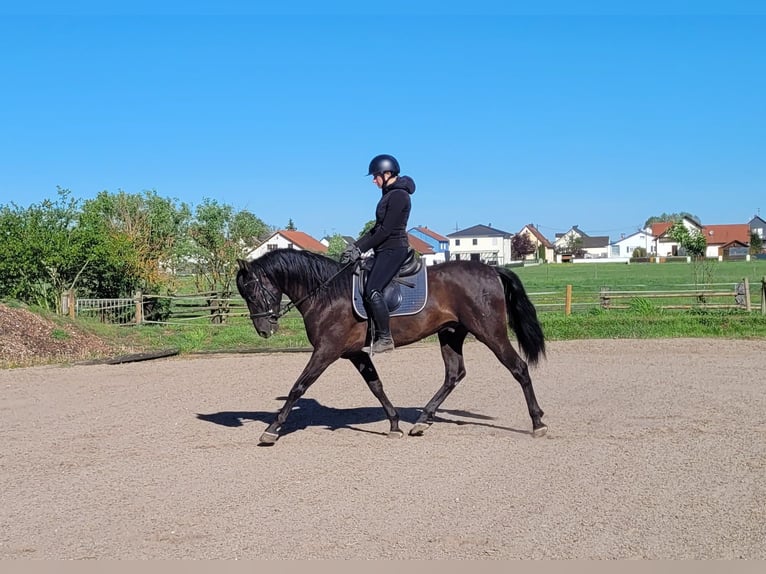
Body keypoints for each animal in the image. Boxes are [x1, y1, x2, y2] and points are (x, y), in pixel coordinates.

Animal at [236, 248, 547, 444]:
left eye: (251, 291)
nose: (264, 330)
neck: (327, 293)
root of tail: (491, 269)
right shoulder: (354, 353)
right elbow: (376, 386)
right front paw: (395, 424)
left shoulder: (327, 351)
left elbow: (298, 387)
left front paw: (272, 429)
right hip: (450, 334)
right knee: (454, 374)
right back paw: (422, 420)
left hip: (489, 331)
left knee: (518, 368)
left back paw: (538, 423)